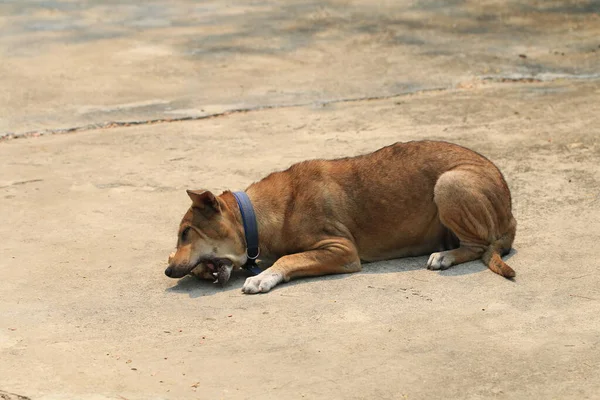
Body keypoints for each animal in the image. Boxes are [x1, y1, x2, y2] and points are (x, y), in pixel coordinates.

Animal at [164, 141, 516, 294]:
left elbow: (289, 259)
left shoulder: (341, 250)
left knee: (477, 246)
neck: (258, 216)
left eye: (186, 232)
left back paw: (445, 256)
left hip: (449, 183)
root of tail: (511, 216)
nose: (168, 270)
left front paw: (263, 277)